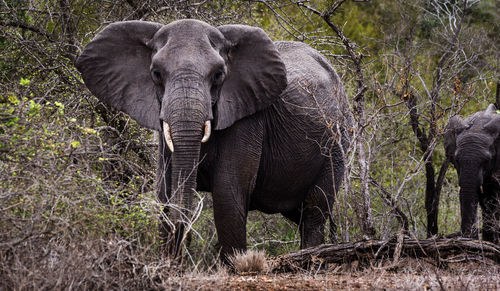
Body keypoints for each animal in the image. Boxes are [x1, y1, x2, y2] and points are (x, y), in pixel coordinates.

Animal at [77, 19, 352, 262]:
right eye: (156, 74)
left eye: (219, 75)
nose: (184, 225)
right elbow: (164, 193)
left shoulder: (248, 118)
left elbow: (227, 196)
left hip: (337, 143)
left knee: (314, 211)